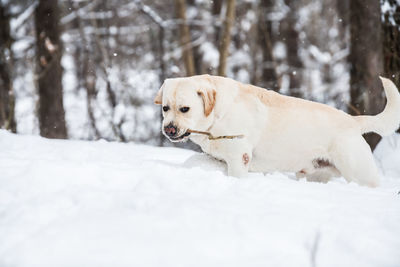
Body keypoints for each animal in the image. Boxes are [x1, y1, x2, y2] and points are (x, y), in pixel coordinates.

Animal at [155, 75, 400, 188]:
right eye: (165, 108)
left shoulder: (239, 158)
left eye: (185, 109)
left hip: (359, 173)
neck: (218, 115)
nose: (169, 129)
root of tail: (353, 120)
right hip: (315, 175)